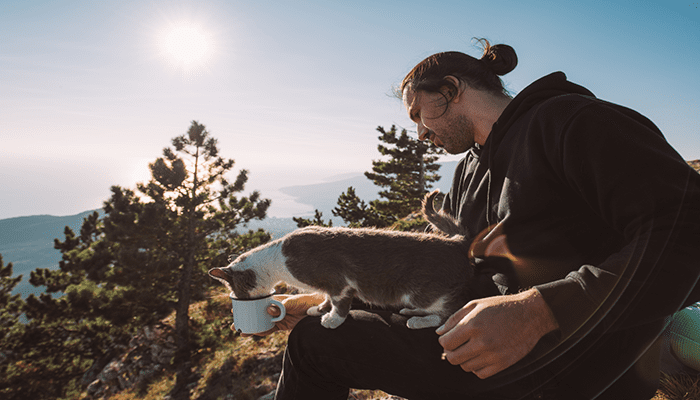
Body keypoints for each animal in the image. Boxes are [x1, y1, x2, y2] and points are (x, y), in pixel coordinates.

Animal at [205, 189, 474, 330]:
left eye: (235, 292)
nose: (238, 299)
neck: (278, 259)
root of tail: (456, 242)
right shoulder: (329, 285)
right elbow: (326, 297)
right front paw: (319, 308)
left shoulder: (339, 281)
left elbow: (339, 302)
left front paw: (333, 319)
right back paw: (412, 311)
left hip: (422, 289)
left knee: (452, 309)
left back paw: (421, 320)